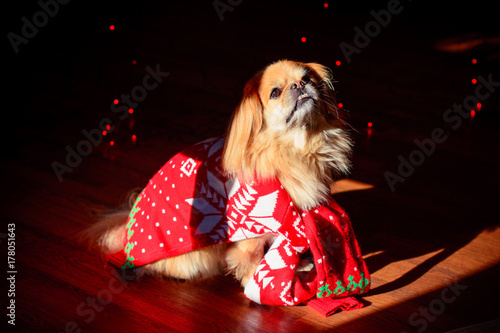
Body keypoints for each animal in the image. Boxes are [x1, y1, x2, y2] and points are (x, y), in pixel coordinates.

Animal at [85, 59, 352, 288]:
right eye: (276, 92)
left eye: (308, 79)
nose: (299, 85)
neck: (293, 149)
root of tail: (126, 233)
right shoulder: (252, 233)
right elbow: (252, 260)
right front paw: (257, 284)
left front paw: (300, 266)